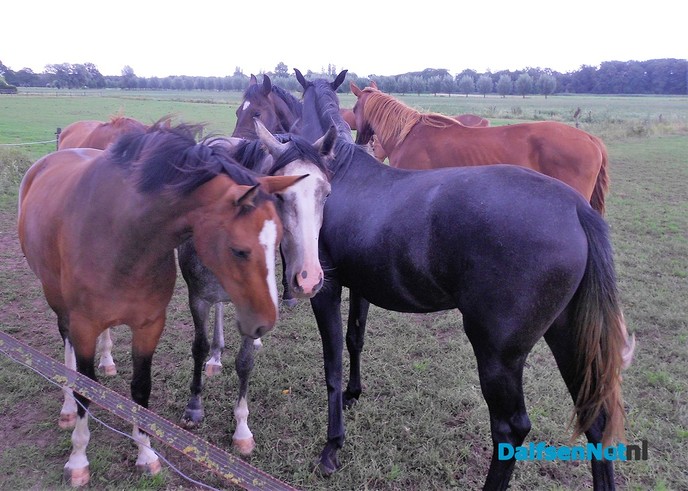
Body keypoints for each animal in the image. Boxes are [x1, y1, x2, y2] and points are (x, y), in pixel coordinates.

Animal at [17, 121, 305, 487]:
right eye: (240, 250)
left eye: (278, 240)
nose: (265, 322)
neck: (121, 237)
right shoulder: (84, 326)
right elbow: (85, 389)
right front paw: (78, 460)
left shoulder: (149, 325)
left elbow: (141, 389)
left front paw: (146, 453)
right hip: (58, 303)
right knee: (66, 348)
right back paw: (67, 408)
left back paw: (107, 360)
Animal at [176, 119, 334, 456]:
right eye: (279, 197)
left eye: (326, 194)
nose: (309, 279)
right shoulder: (196, 296)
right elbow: (197, 346)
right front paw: (194, 407)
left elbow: (245, 362)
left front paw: (242, 429)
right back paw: (215, 358)